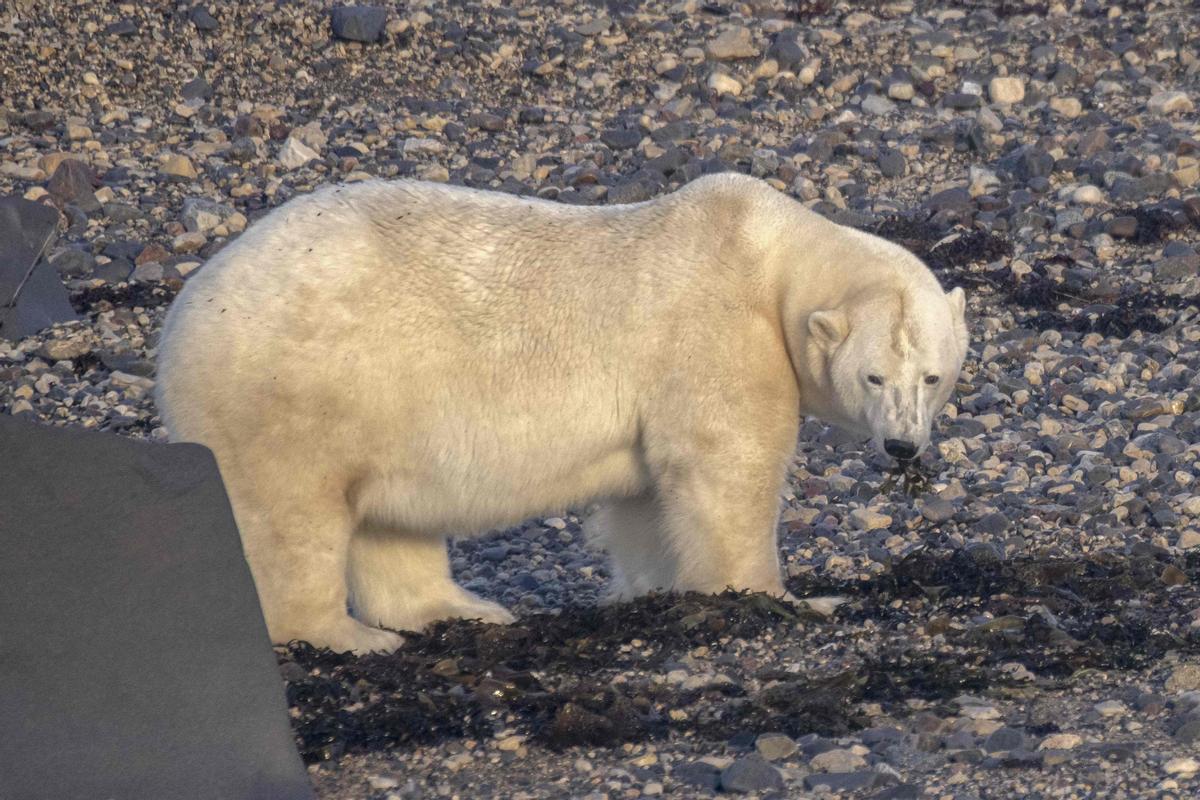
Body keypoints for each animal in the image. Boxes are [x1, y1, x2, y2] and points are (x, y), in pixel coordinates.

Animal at [154, 172, 969, 652]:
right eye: (872, 375)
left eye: (932, 375)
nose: (903, 447)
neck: (768, 256)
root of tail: (183, 319)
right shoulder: (720, 333)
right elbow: (726, 466)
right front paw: (782, 597)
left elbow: (649, 500)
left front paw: (653, 588)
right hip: (293, 392)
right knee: (293, 518)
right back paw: (345, 635)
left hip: (379, 406)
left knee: (390, 519)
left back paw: (462, 610)